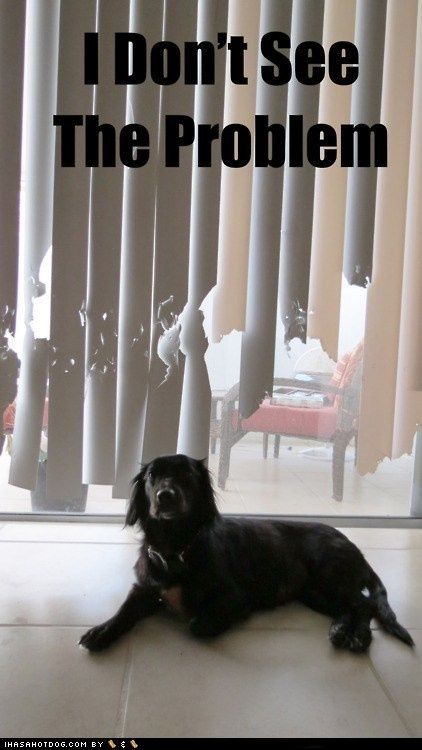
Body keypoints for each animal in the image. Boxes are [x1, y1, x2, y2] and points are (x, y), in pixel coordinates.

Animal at [78, 456, 412, 656]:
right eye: (151, 476)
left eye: (185, 474)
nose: (165, 496)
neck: (176, 549)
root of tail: (353, 546)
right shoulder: (145, 588)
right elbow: (124, 610)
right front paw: (101, 631)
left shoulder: (235, 598)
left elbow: (196, 624)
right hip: (314, 593)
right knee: (349, 608)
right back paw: (341, 629)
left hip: (329, 574)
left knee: (365, 605)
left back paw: (359, 637)